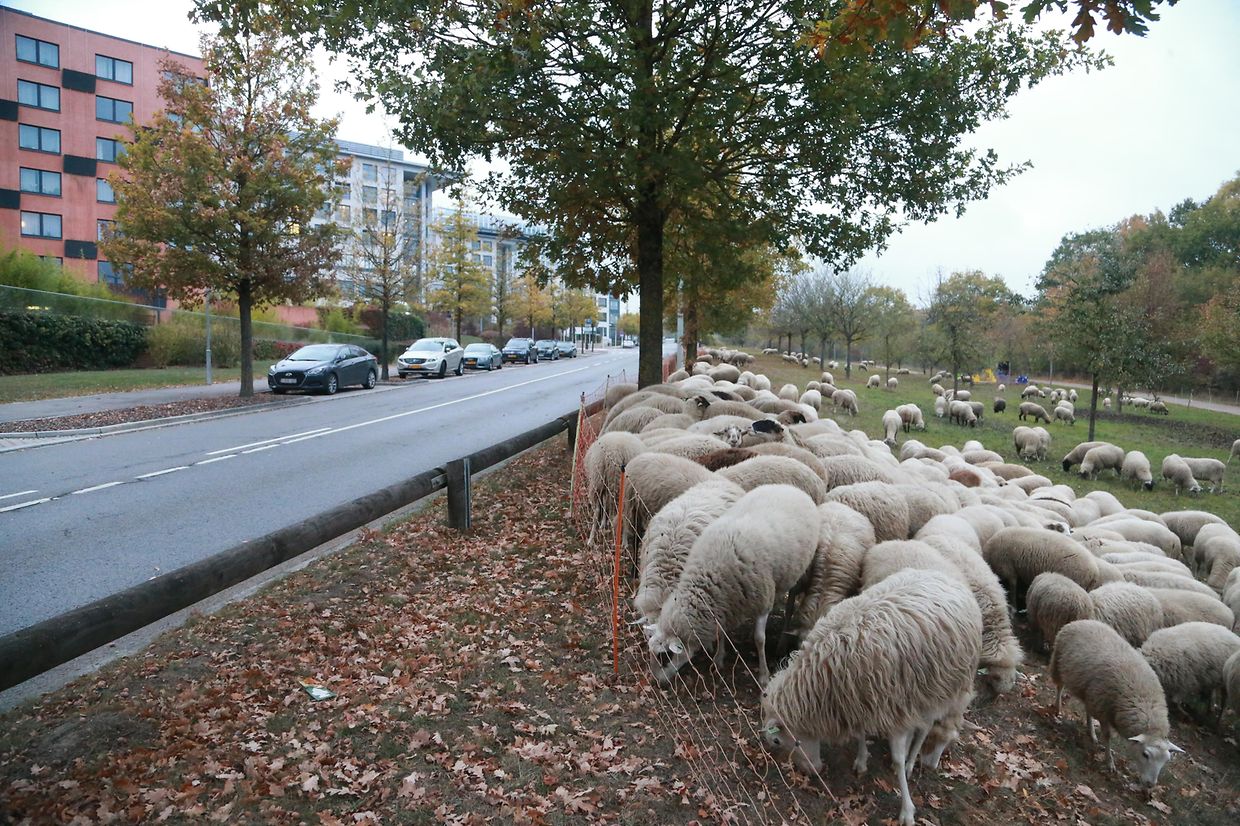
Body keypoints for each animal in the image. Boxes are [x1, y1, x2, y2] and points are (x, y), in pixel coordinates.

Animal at [647, 485, 819, 685]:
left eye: (665, 655)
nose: (656, 681)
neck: (711, 573)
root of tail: (788, 487)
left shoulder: (762, 601)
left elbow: (759, 639)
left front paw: (764, 675)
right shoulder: (723, 604)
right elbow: (721, 632)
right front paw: (718, 658)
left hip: (799, 573)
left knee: (790, 605)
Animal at [761, 570, 982, 826]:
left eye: (777, 741)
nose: (813, 772)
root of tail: (944, 574)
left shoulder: (893, 707)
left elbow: (897, 758)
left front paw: (907, 809)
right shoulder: (861, 700)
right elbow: (860, 733)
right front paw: (861, 760)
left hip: (943, 687)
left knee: (926, 726)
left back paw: (911, 761)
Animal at [1049, 620, 1182, 786]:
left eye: (1166, 760)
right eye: (1145, 754)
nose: (1150, 785)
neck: (1143, 700)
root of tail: (1083, 621)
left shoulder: (1100, 702)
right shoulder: (1103, 709)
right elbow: (1107, 736)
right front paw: (1109, 762)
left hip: (1090, 692)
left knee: (1088, 709)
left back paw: (1091, 732)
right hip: (1058, 661)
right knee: (1060, 687)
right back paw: (1057, 708)